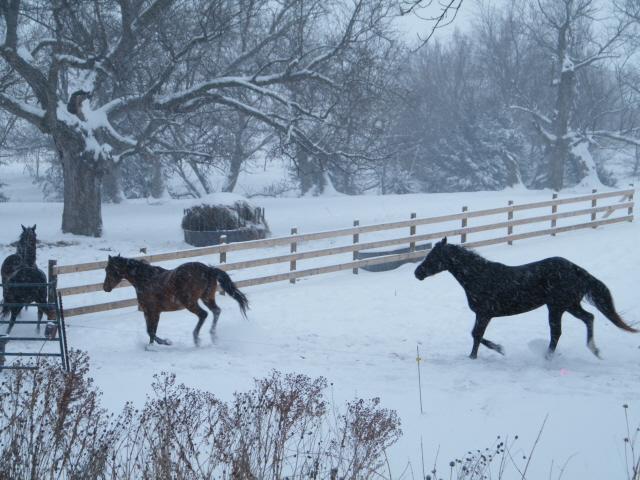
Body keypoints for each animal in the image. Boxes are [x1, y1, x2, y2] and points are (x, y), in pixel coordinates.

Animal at [102, 255, 249, 347]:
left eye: (109, 269)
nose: (105, 288)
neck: (145, 279)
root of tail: (209, 270)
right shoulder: (154, 312)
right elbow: (151, 332)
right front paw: (152, 346)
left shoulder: (150, 311)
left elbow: (151, 331)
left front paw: (166, 342)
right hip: (207, 298)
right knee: (216, 311)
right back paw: (213, 336)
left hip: (190, 302)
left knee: (204, 314)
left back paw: (197, 339)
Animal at [414, 237, 637, 360]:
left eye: (433, 257)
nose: (417, 273)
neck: (480, 276)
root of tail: (577, 269)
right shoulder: (482, 315)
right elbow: (476, 335)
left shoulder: (484, 314)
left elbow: (476, 335)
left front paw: (495, 351)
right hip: (570, 305)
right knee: (589, 318)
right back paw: (594, 350)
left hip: (556, 307)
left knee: (557, 332)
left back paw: (548, 358)